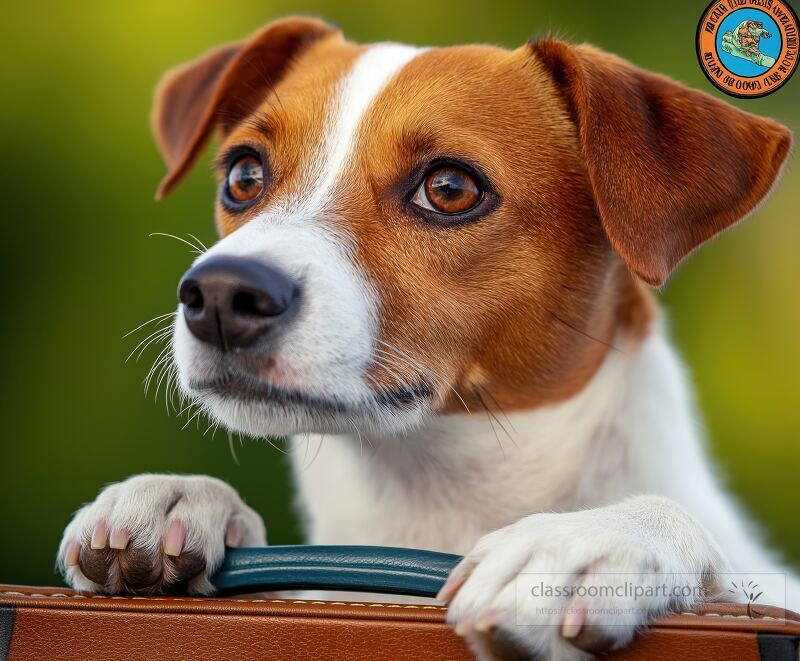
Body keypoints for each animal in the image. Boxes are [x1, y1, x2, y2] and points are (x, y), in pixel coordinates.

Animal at [54, 16, 792, 660]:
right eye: (243, 174)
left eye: (450, 187)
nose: (218, 296)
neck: (427, 493)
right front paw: (179, 496)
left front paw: (583, 542)